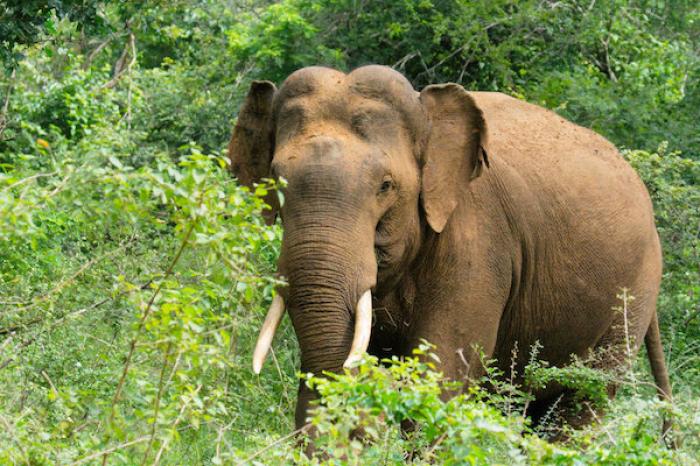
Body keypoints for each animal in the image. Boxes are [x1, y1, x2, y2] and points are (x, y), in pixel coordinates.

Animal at [230, 63, 672, 436]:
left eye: (386, 186)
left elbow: (440, 374)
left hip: (634, 294)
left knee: (583, 402)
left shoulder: (479, 239)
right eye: (275, 180)